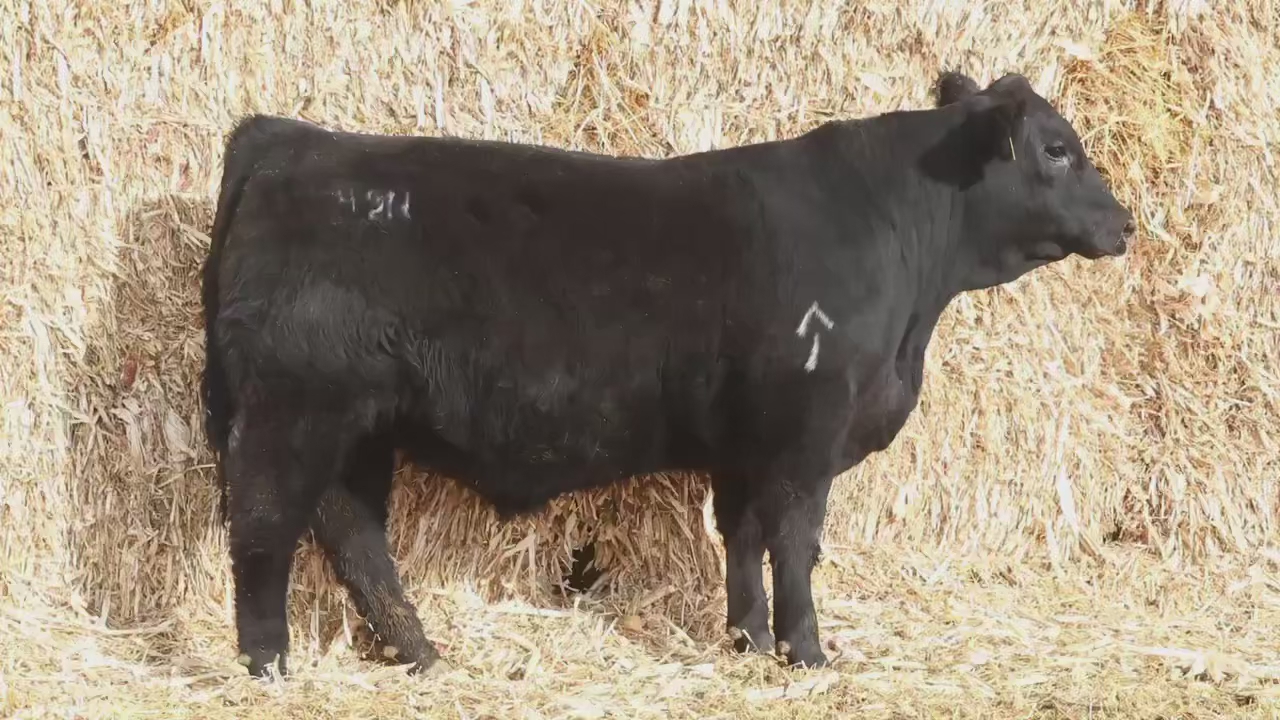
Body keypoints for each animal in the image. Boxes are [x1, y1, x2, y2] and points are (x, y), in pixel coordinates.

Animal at [201, 70, 1133, 678]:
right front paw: (807, 653)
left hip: (360, 425)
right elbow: (795, 542)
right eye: (1057, 149)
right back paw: (270, 667)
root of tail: (292, 140)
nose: (1124, 222)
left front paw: (748, 641)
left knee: (353, 534)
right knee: (265, 527)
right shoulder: (805, 433)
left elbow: (744, 538)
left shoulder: (746, 444)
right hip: (294, 410)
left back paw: (421, 653)